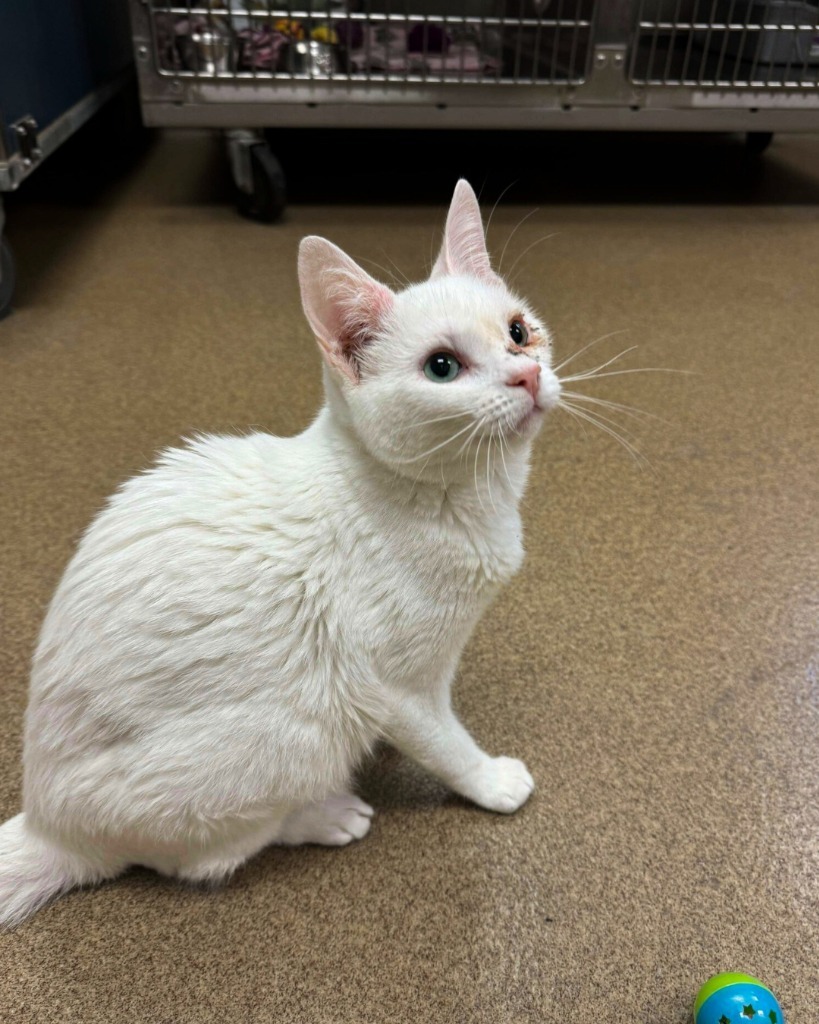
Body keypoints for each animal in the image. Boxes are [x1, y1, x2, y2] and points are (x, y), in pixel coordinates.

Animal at [0, 180, 565, 925]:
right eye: (442, 367)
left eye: (518, 331)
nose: (526, 374)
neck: (462, 500)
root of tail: (45, 822)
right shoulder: (394, 686)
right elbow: (445, 743)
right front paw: (489, 781)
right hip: (293, 734)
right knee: (199, 858)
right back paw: (326, 814)